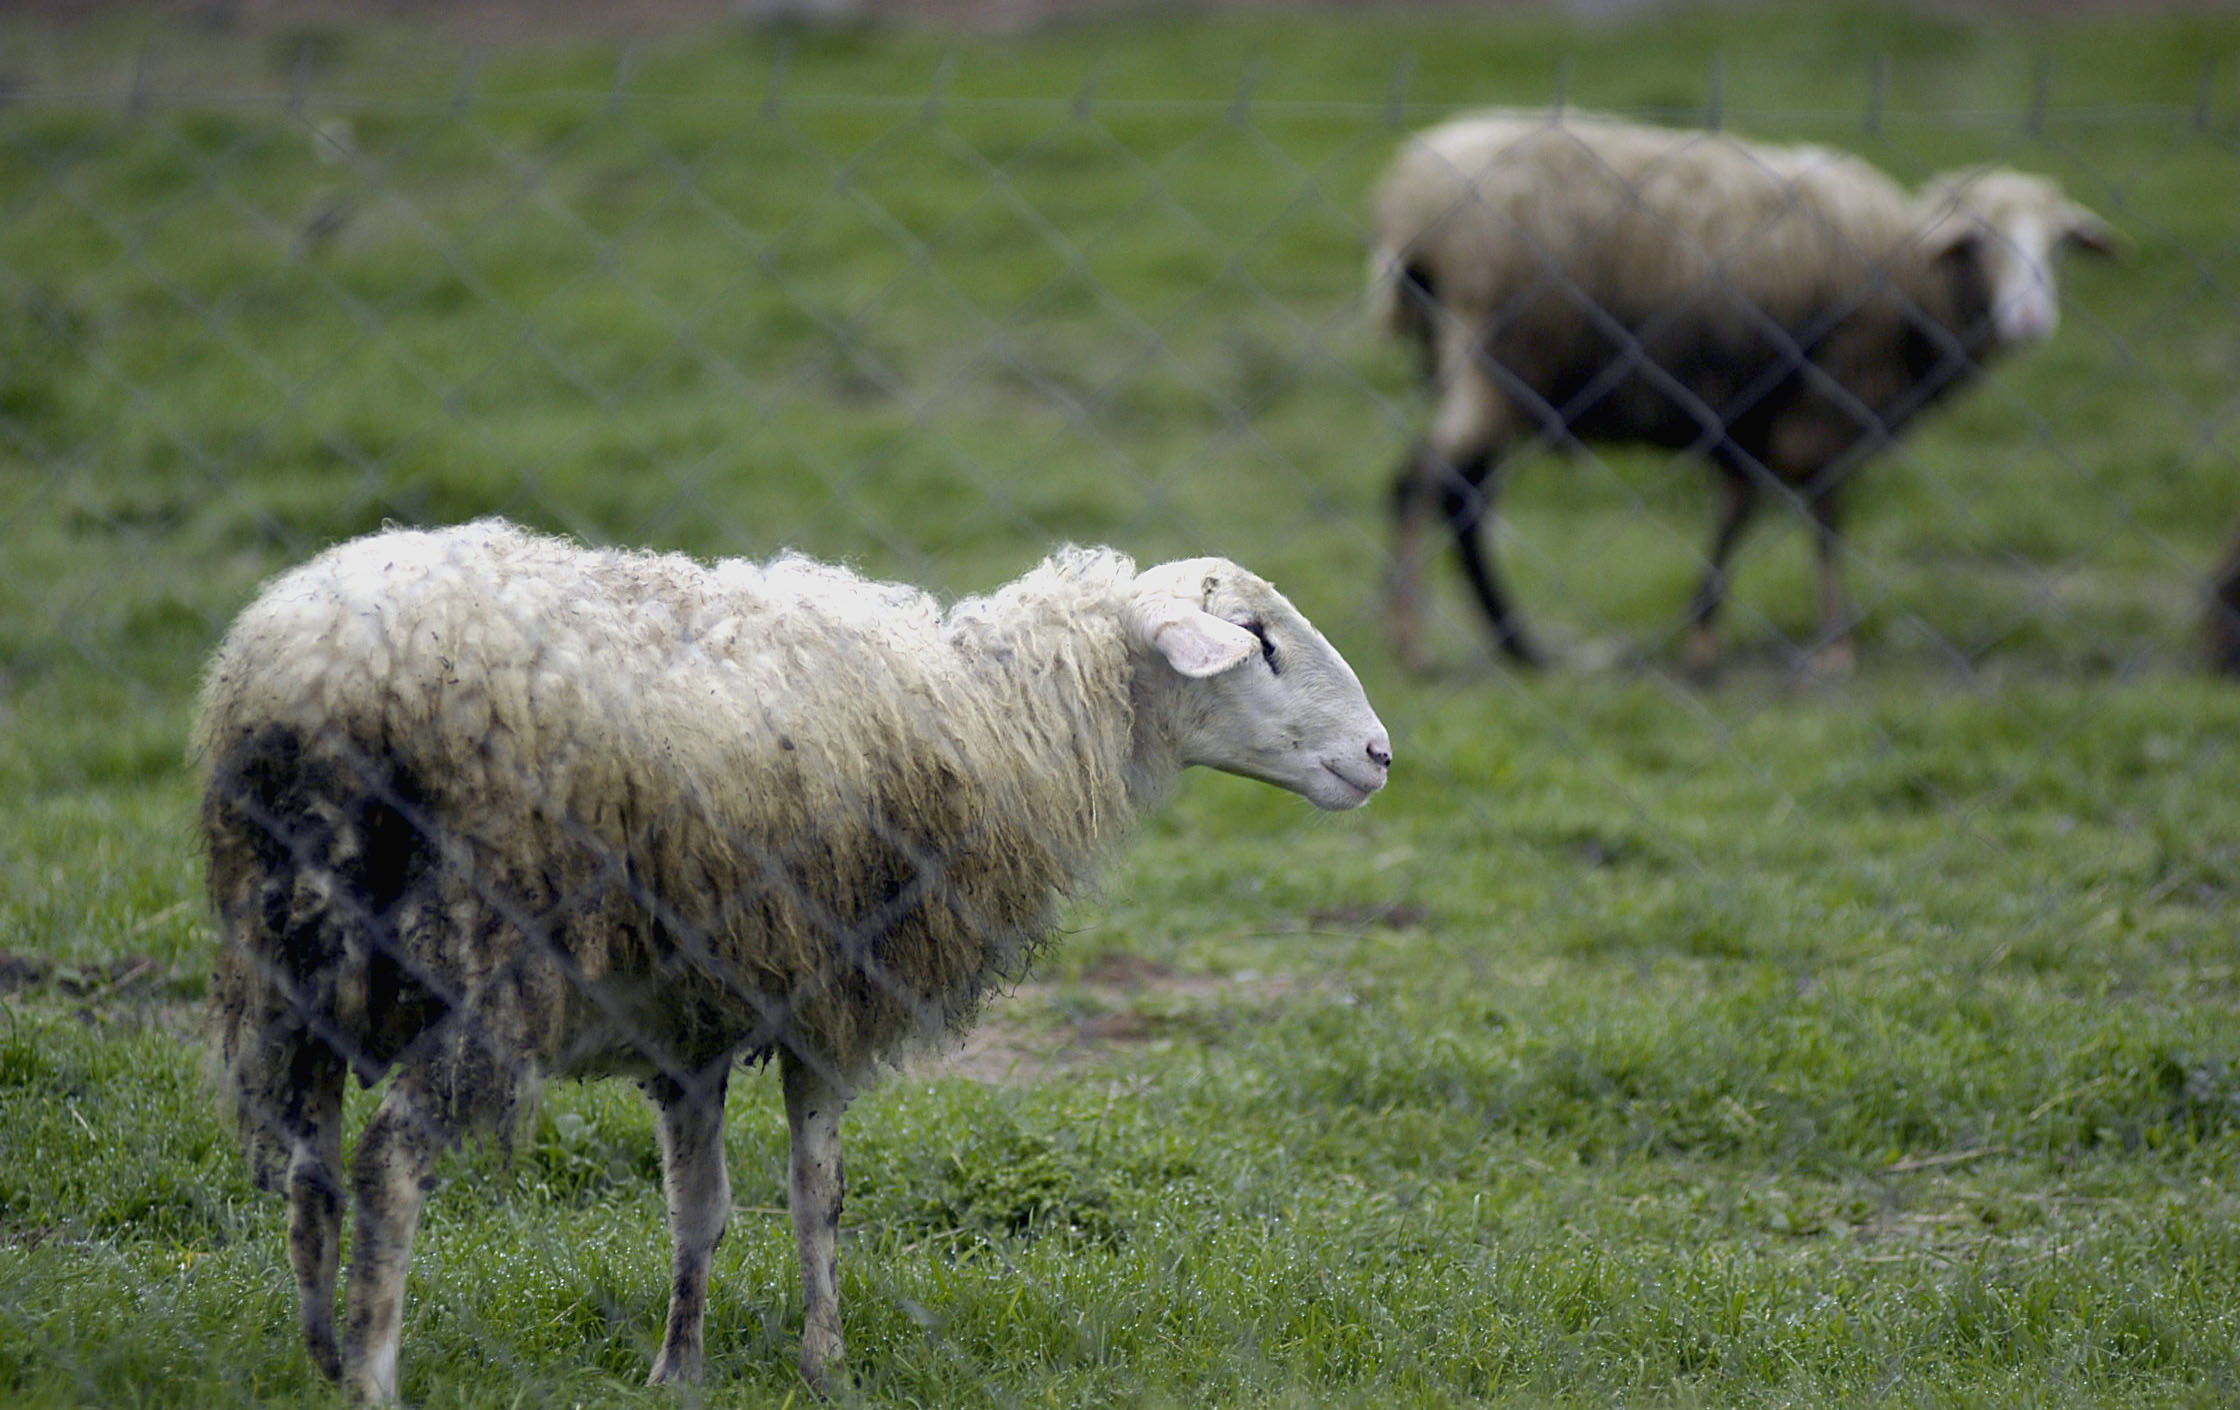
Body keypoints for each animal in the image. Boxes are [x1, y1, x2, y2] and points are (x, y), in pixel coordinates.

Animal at [197, 517, 1379, 1398]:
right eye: (1260, 640)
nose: (1378, 754)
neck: (1007, 720)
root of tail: (322, 669)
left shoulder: (692, 1016)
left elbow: (700, 1208)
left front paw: (678, 1371)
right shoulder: (832, 993)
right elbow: (820, 1195)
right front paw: (828, 1366)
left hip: (287, 962)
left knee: (308, 1163)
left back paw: (319, 1354)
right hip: (483, 960)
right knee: (388, 1166)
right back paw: (372, 1378)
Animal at [1361, 109, 2114, 672]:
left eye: (2058, 246)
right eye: (1980, 242)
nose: (2030, 320)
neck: (1912, 275)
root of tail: (1409, 203)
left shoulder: (1747, 411)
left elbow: (1736, 512)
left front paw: (1703, 633)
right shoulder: (1829, 402)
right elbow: (1825, 520)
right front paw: (1834, 645)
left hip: (1479, 367)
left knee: (1460, 496)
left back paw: (1514, 644)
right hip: (1496, 359)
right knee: (1422, 484)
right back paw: (1412, 640)